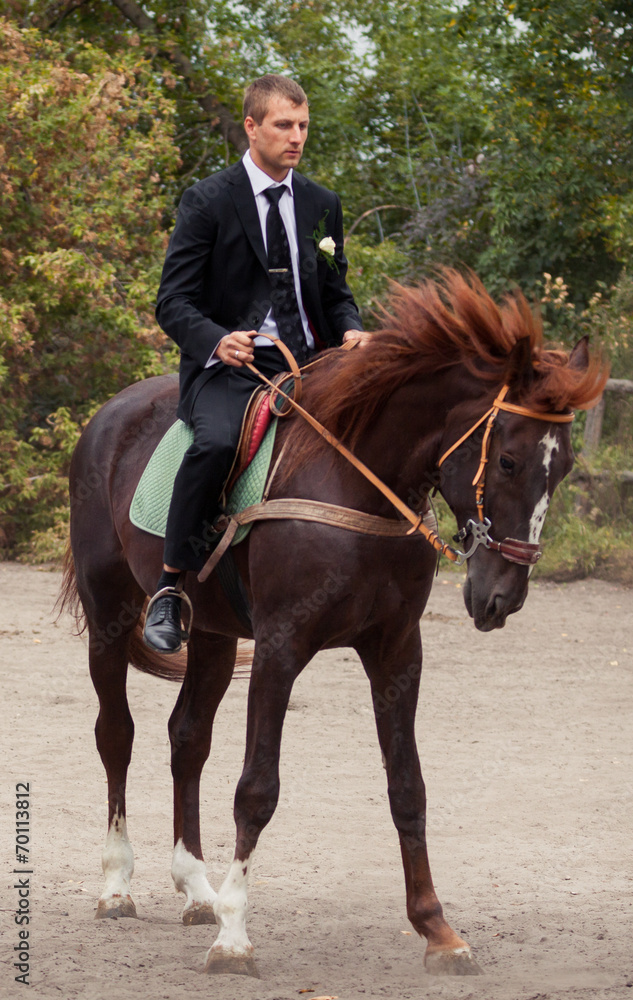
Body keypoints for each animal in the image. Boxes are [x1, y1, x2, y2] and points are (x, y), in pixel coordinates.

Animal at [58, 271, 606, 978]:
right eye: (508, 462)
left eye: (561, 469)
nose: (502, 596)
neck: (356, 481)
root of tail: (111, 412)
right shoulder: (281, 648)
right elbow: (257, 788)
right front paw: (235, 938)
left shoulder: (396, 650)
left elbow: (408, 787)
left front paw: (437, 929)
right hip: (109, 612)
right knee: (116, 735)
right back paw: (118, 886)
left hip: (212, 635)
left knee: (187, 738)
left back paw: (196, 889)